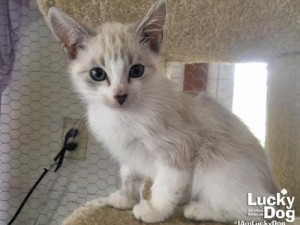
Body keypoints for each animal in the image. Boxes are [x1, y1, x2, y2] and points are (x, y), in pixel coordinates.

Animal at [48, 0, 278, 223]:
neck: (123, 117)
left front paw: (154, 211)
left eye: (136, 70)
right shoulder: (129, 152)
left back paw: (199, 209)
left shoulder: (179, 147)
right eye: (97, 74)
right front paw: (125, 199)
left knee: (253, 211)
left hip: (217, 168)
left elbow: (165, 186)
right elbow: (129, 176)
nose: (120, 96)